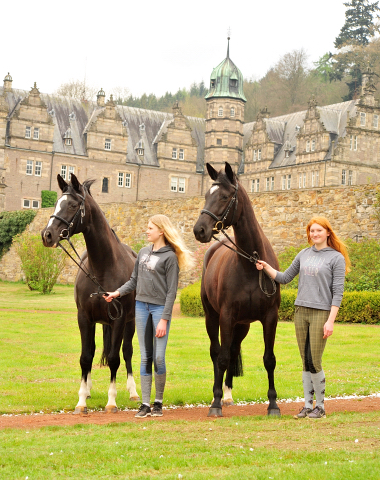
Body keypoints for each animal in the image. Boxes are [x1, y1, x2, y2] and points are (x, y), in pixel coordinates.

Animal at [41, 174, 140, 414]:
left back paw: (133, 391)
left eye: (72, 205)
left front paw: (112, 401)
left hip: (130, 322)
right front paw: (81, 401)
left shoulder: (119, 319)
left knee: (127, 352)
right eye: (57, 202)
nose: (47, 235)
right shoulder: (85, 318)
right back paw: (87, 389)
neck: (103, 268)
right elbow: (86, 357)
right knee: (94, 350)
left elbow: (114, 358)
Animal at [194, 162, 280, 416]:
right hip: (212, 318)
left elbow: (269, 359)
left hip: (242, 325)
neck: (250, 264)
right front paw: (215, 403)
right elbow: (221, 358)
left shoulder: (270, 317)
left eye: (224, 196)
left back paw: (229, 395)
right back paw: (219, 395)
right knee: (217, 352)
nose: (199, 230)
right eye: (206, 195)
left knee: (232, 350)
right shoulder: (226, 316)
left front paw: (273, 404)